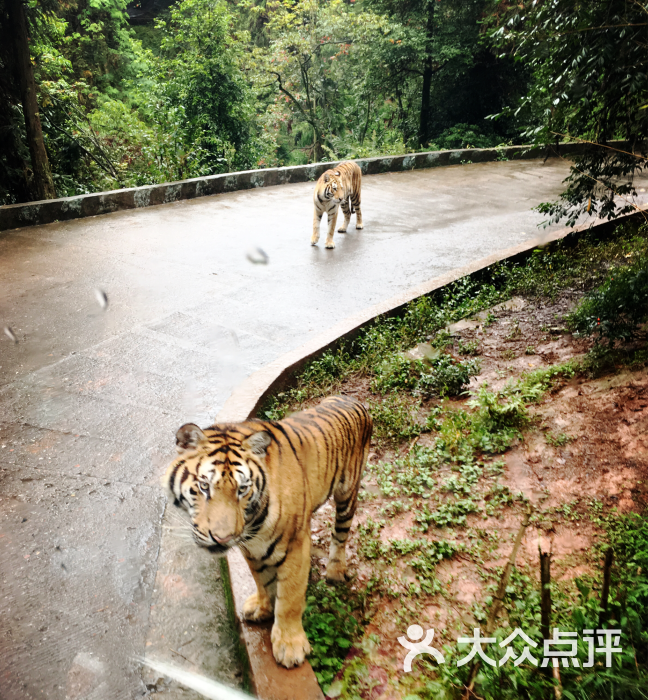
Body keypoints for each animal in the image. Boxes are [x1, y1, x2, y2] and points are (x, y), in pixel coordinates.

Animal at [165, 396, 372, 668]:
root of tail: (352, 399)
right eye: (203, 486)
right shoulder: (252, 548)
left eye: (242, 489)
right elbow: (262, 580)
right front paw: (262, 609)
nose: (222, 538)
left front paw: (290, 645)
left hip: (347, 494)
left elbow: (290, 597)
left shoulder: (296, 545)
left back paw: (335, 571)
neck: (253, 523)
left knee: (340, 535)